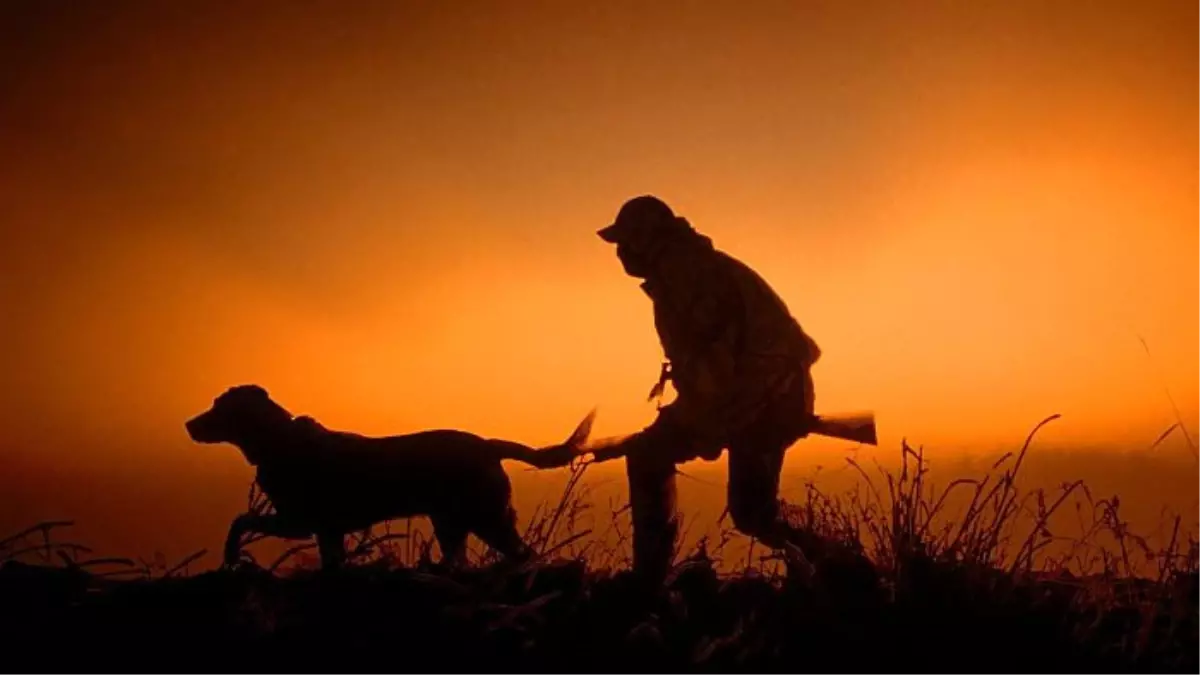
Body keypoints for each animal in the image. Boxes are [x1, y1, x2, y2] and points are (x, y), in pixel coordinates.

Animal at [183, 384, 595, 566]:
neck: (280, 441)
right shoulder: (325, 530)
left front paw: (231, 554)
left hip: (486, 518)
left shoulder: (297, 522)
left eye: (218, 406)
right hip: (453, 524)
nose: (188, 424)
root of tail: (489, 445)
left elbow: (240, 520)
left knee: (526, 556)